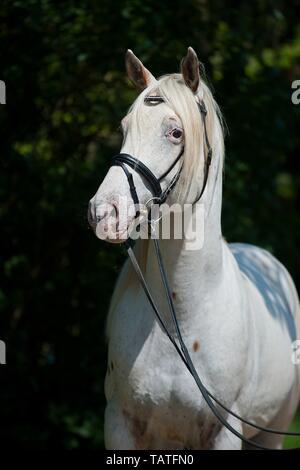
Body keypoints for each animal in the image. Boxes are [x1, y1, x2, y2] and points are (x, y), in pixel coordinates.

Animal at [87, 48, 300, 452]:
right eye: (124, 128)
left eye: (175, 133)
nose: (104, 213)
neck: (179, 322)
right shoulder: (120, 425)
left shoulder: (224, 432)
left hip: (270, 432)